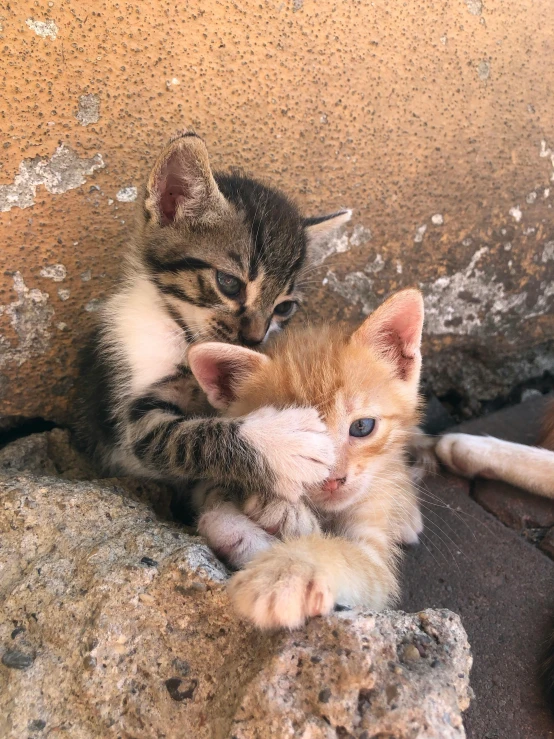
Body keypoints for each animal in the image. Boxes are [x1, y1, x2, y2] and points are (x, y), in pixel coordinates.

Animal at [74, 129, 350, 520]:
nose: (255, 338)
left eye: (284, 307)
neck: (185, 335)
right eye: (229, 283)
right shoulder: (131, 425)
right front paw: (280, 444)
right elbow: (187, 438)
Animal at [187, 286, 422, 628]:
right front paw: (261, 524)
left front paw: (286, 571)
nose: (333, 480)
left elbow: (343, 554)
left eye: (362, 427)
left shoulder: (374, 555)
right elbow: (212, 505)